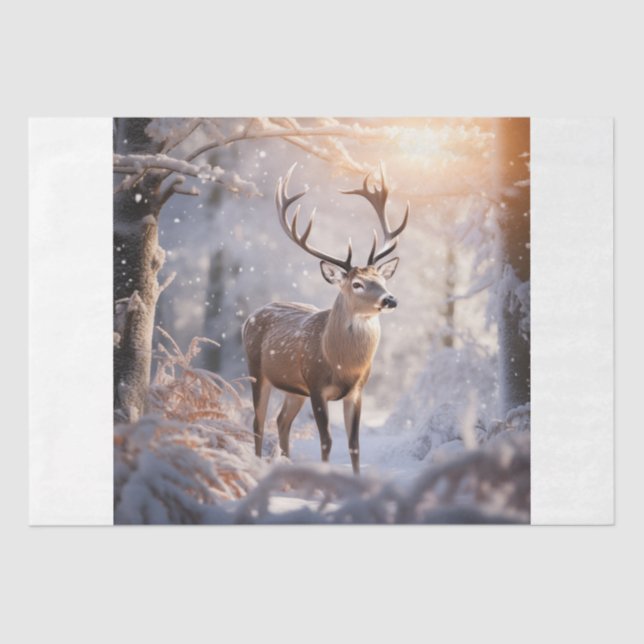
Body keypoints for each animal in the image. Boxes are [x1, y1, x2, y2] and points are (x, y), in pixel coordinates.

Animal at [242, 163, 409, 474]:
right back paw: (257, 467)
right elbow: (326, 441)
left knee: (281, 421)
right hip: (257, 370)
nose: (390, 299)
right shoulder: (317, 385)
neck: (342, 364)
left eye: (381, 278)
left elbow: (354, 445)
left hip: (295, 389)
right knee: (258, 422)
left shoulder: (357, 390)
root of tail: (249, 317)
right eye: (357, 284)